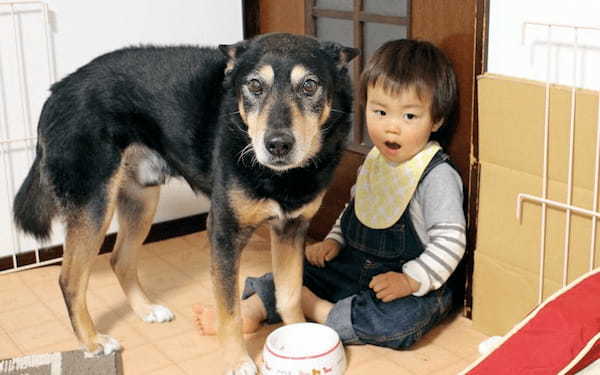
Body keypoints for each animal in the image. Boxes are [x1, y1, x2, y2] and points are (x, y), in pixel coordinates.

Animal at [12, 33, 356, 374]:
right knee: (69, 278)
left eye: (309, 85)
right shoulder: (224, 231)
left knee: (119, 259)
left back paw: (146, 310)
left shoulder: (292, 228)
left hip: (141, 199)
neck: (283, 177)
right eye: (255, 85)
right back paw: (93, 341)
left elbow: (290, 296)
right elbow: (229, 311)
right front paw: (237, 360)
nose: (278, 145)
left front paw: (300, 334)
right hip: (94, 203)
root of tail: (56, 91)